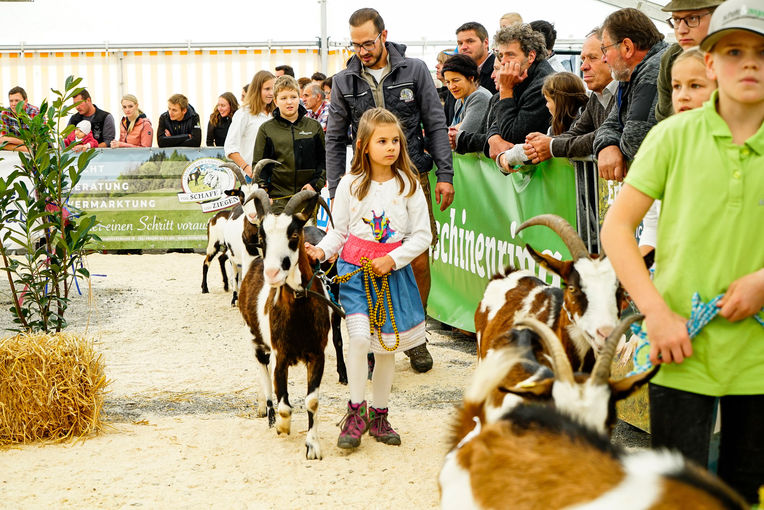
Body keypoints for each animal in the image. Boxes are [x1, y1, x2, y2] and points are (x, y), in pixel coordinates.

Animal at [236, 189, 332, 460]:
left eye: (294, 234)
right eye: (263, 237)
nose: (272, 273)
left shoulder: (317, 354)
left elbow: (312, 401)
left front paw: (313, 446)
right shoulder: (281, 355)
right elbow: (284, 405)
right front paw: (282, 426)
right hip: (255, 339)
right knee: (263, 374)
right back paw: (267, 412)